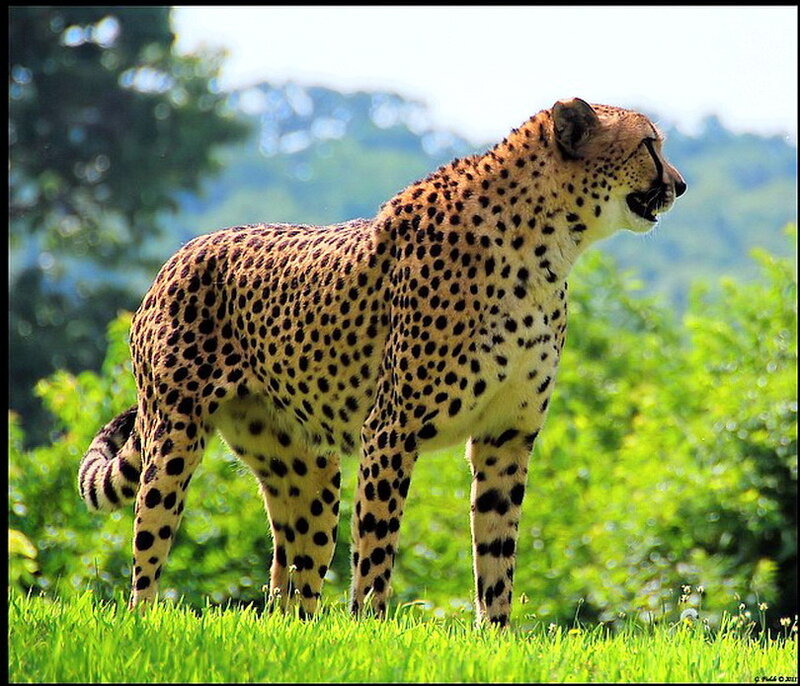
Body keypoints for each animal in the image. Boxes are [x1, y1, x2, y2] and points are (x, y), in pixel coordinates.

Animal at [78, 97, 685, 626]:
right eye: (649, 145)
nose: (679, 185)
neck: (546, 243)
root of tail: (180, 254)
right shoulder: (391, 429)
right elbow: (376, 547)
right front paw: (369, 628)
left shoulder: (506, 436)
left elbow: (497, 553)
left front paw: (497, 635)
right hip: (174, 435)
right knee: (149, 543)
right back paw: (145, 619)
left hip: (306, 466)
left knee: (292, 574)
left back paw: (294, 627)